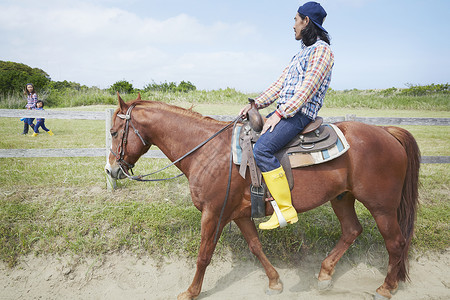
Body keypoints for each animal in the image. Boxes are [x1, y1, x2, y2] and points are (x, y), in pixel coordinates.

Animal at [103, 94, 420, 300]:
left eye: (115, 132)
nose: (111, 170)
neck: (207, 151)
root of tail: (387, 132)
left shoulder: (214, 213)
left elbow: (204, 255)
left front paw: (191, 292)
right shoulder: (239, 214)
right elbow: (256, 247)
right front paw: (275, 282)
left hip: (382, 207)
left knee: (396, 242)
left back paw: (386, 287)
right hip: (342, 197)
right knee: (352, 231)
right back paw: (325, 275)